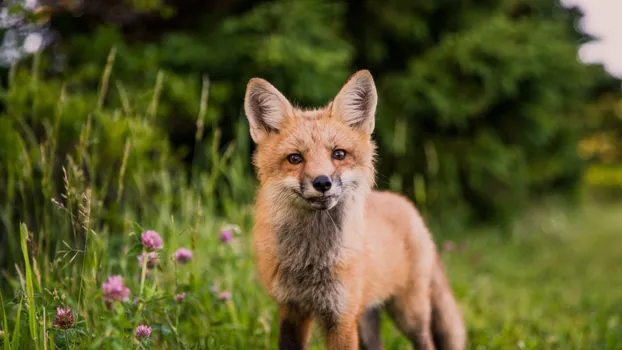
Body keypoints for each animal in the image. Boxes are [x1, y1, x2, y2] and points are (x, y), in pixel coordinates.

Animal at [246, 69, 466, 348]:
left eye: (339, 154)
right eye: (295, 158)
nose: (322, 182)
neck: (311, 260)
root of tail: (405, 204)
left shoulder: (342, 317)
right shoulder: (292, 310)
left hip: (409, 313)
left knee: (427, 342)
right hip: (367, 318)